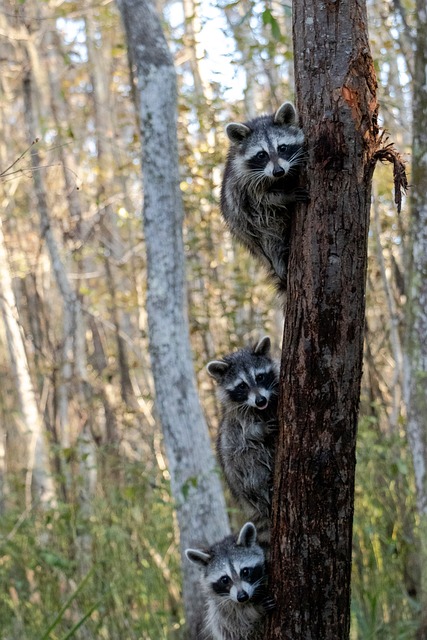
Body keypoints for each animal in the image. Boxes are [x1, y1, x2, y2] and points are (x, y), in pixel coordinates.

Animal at [207, 338, 280, 544]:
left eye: (260, 377)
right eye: (242, 386)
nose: (260, 400)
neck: (262, 409)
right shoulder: (237, 421)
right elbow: (245, 436)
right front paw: (260, 430)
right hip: (240, 476)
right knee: (250, 460)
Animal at [221, 101, 308, 292]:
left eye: (282, 148)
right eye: (262, 155)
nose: (278, 171)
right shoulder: (243, 185)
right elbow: (261, 202)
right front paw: (286, 196)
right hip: (252, 233)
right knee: (269, 235)